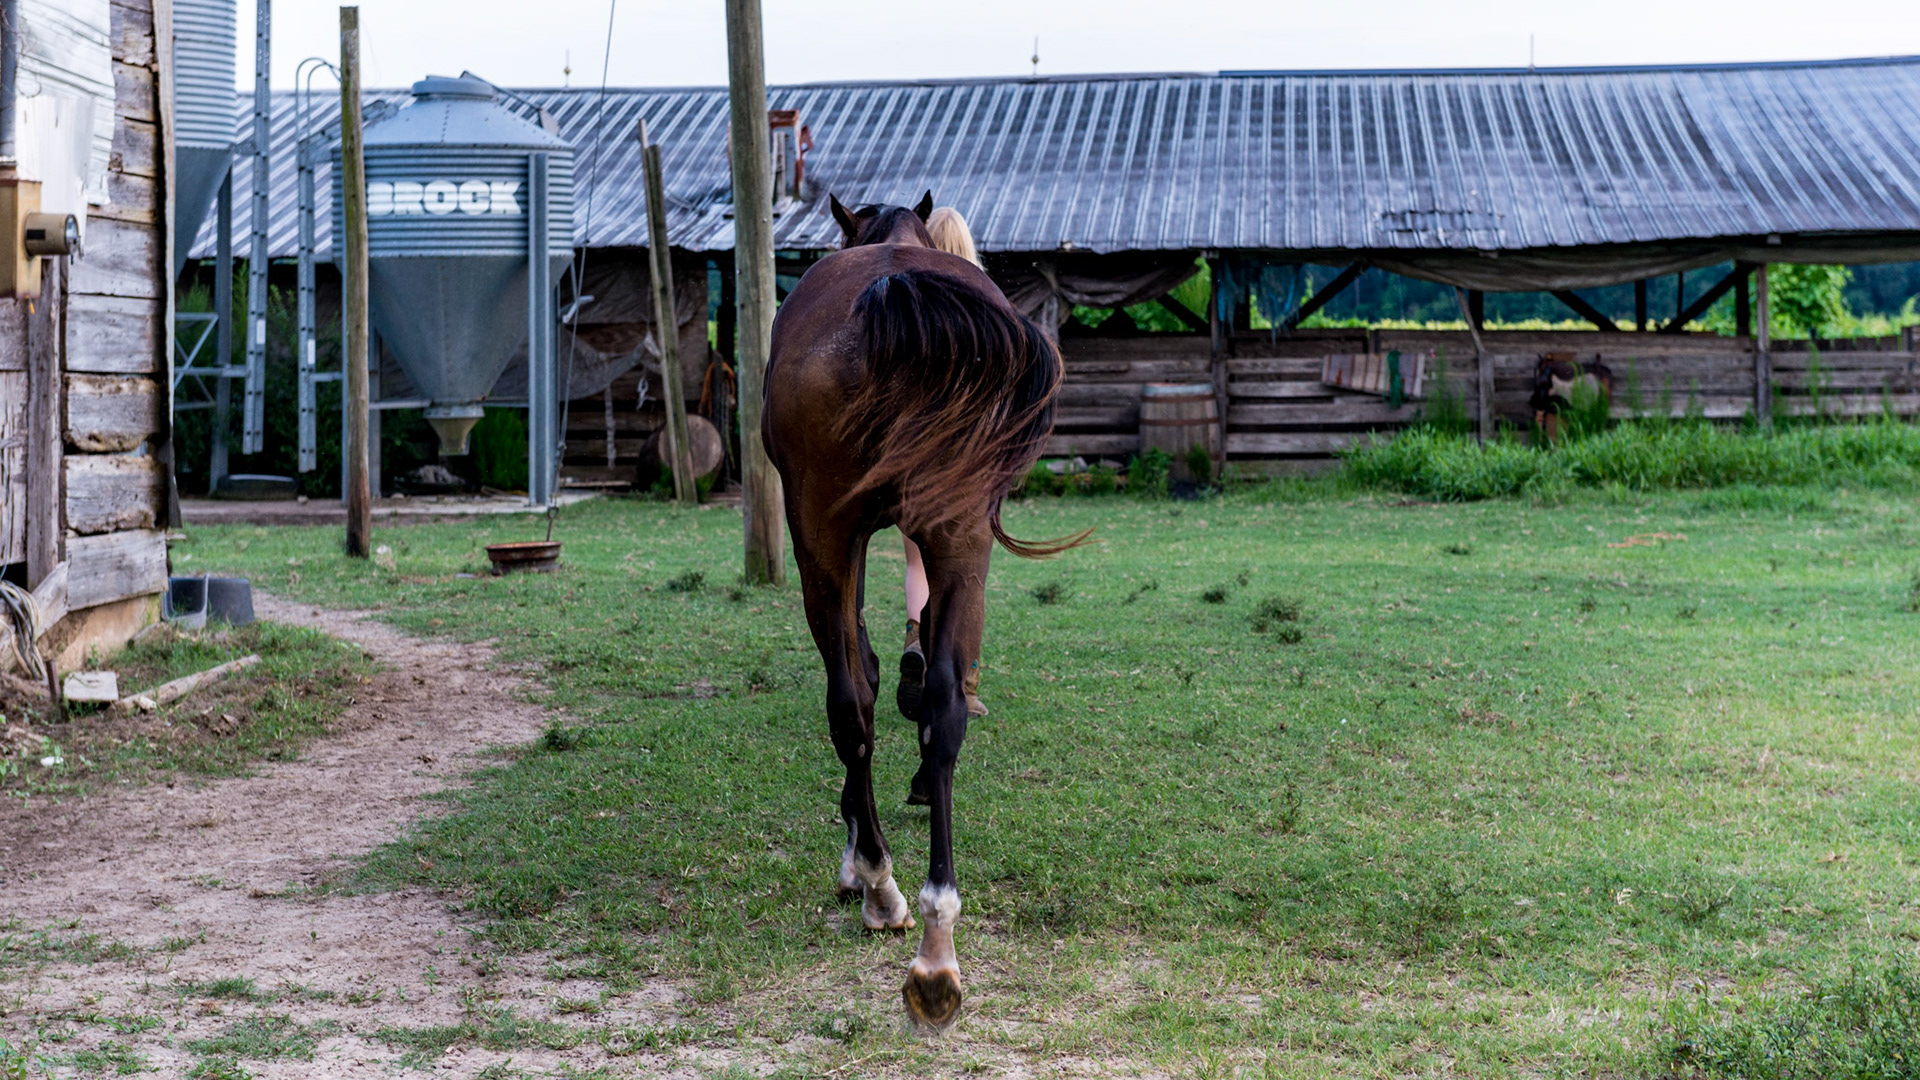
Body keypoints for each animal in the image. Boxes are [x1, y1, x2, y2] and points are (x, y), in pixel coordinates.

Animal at [762, 191, 1083, 1030]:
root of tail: (891, 291)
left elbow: (873, 676)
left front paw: (856, 848)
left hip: (834, 535)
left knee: (854, 701)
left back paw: (893, 898)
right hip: (948, 530)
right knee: (927, 700)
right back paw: (926, 933)